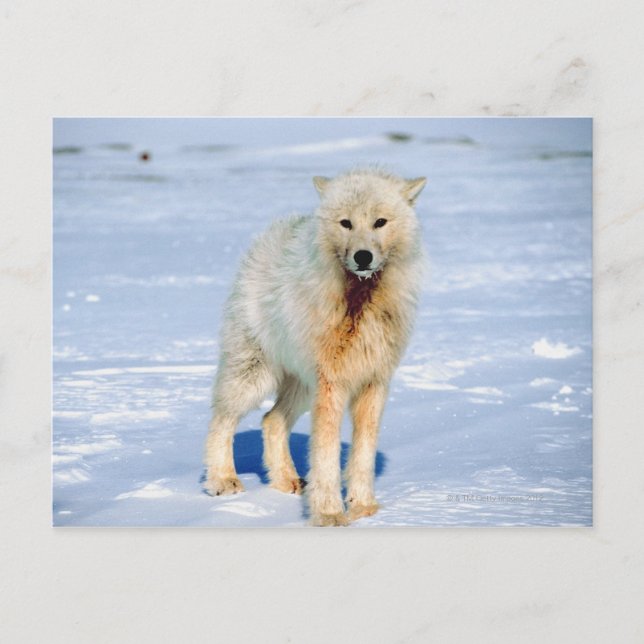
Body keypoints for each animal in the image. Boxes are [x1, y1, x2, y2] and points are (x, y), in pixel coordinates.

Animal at [203, 169, 426, 526]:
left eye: (380, 222)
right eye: (346, 223)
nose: (363, 257)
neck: (358, 304)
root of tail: (271, 234)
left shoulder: (374, 382)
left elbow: (363, 454)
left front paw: (364, 509)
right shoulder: (332, 385)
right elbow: (326, 456)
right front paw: (330, 514)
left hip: (302, 387)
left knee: (271, 420)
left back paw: (286, 481)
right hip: (256, 377)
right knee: (221, 420)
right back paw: (222, 480)